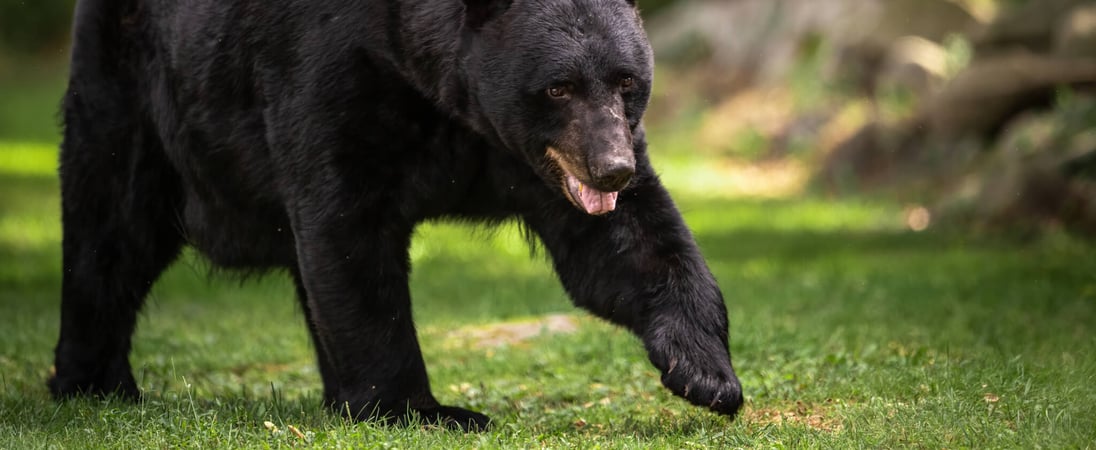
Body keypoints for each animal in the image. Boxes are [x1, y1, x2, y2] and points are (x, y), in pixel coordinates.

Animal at [55, 0, 749, 431]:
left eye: (626, 79)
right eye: (558, 87)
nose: (612, 169)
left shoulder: (523, 153)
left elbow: (626, 243)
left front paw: (705, 373)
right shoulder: (334, 79)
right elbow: (349, 238)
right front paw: (422, 409)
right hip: (135, 90)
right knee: (110, 229)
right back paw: (94, 383)